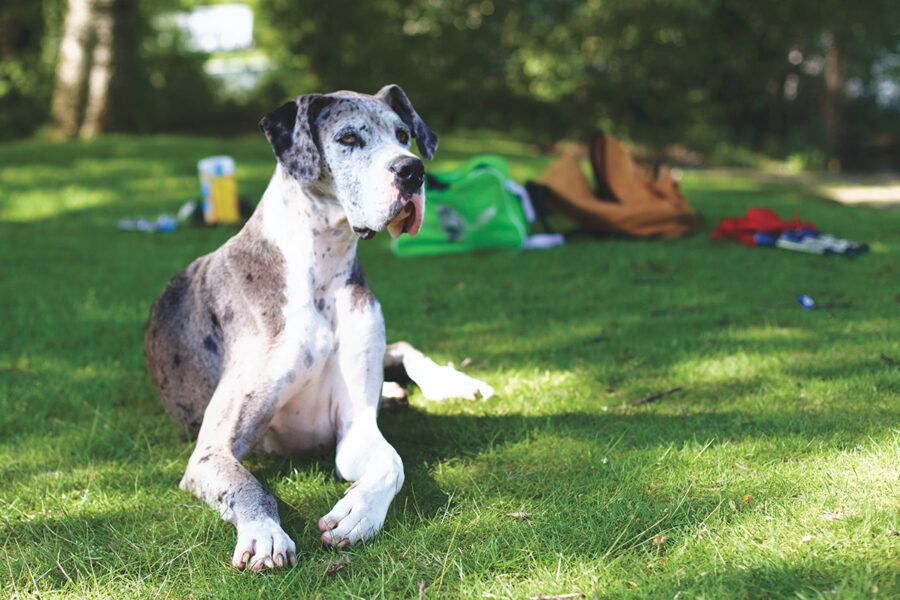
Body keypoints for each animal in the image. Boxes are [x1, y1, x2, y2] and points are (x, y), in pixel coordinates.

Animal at [144, 85, 492, 572]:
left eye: (403, 135)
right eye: (347, 138)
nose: (412, 170)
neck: (321, 268)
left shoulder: (356, 428)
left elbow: (392, 462)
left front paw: (359, 512)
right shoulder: (212, 450)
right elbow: (250, 486)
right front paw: (264, 534)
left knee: (403, 347)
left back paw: (448, 382)